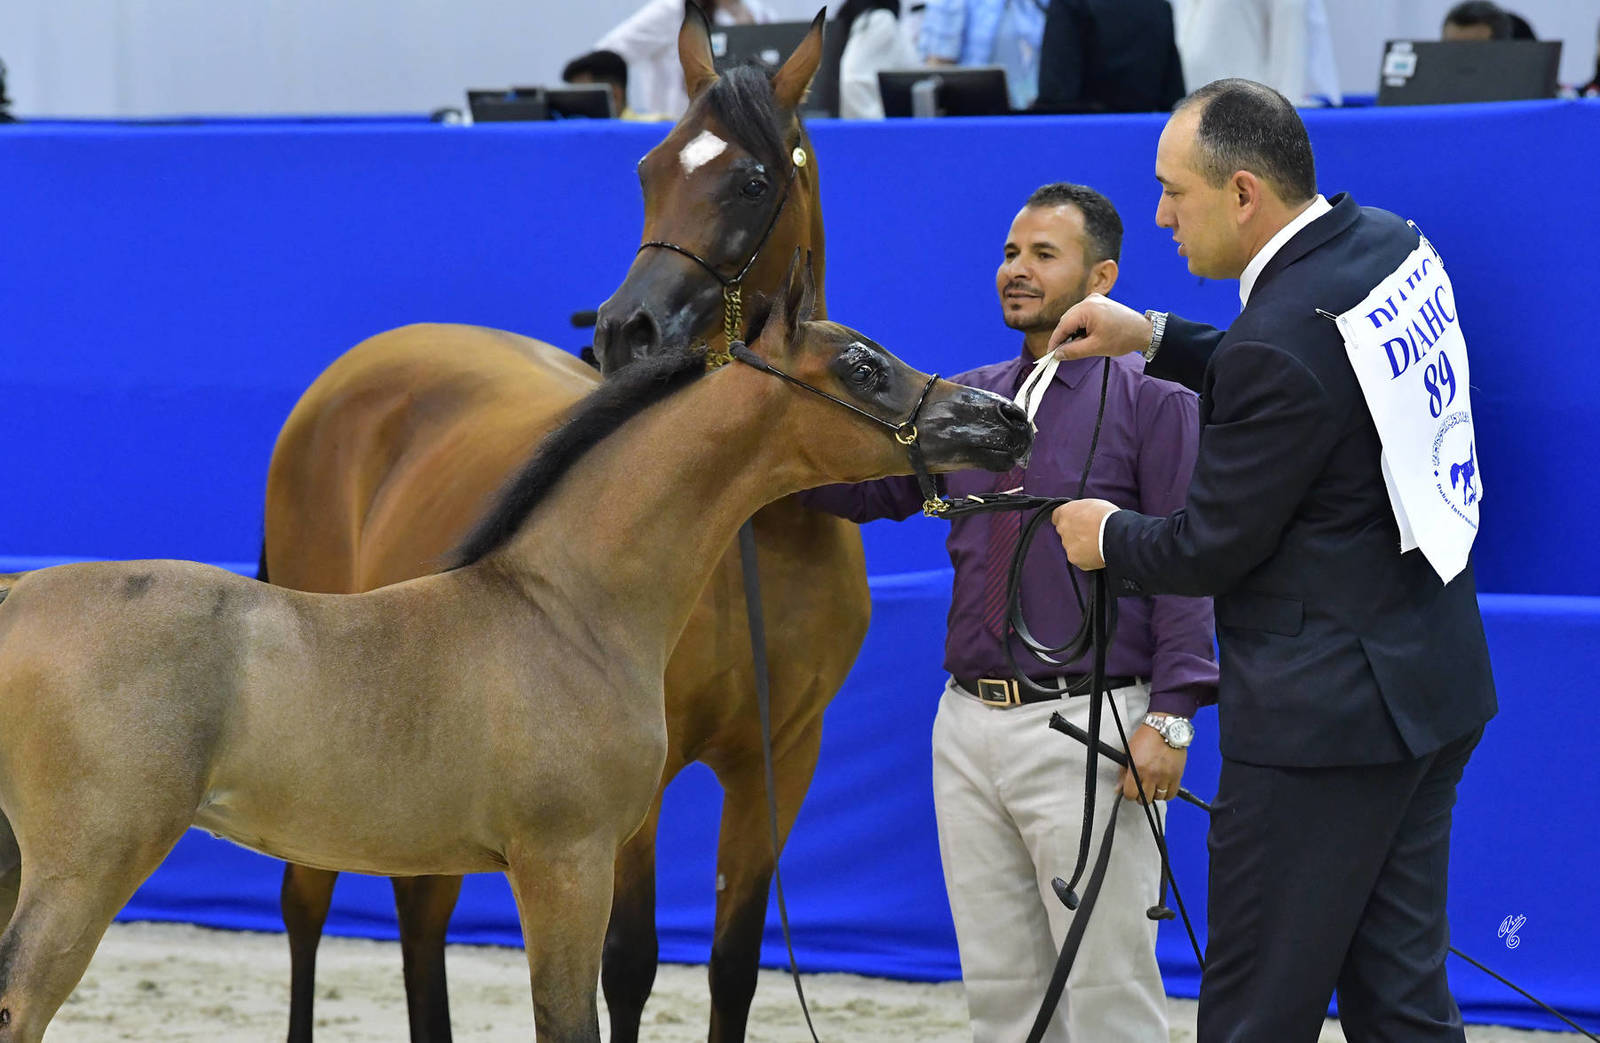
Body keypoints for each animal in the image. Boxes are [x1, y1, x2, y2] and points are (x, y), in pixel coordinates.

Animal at [0, 260, 1034, 1043]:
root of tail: (15, 599)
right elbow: (571, 1018)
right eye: (861, 364)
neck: (562, 610)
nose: (1003, 420)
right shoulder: (565, 864)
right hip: (85, 867)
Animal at [261, 11, 870, 1043]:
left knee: (421, 909)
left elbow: (734, 965)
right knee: (308, 902)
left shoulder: (780, 761)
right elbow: (627, 964)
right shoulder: (626, 790)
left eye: (752, 180)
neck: (755, 524)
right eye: (648, 168)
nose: (627, 328)